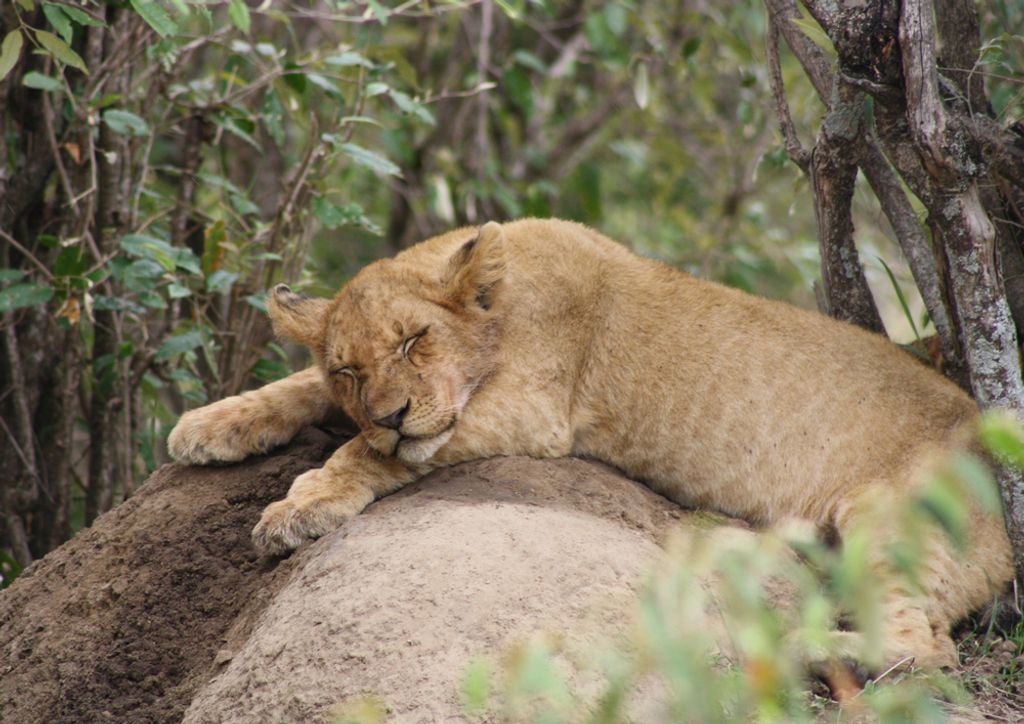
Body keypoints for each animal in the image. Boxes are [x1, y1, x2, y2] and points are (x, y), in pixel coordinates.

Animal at [168, 218, 1012, 671]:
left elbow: (363, 453)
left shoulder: (533, 413)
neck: (502, 301)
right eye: (348, 368)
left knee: (925, 649)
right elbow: (297, 390)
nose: (393, 412)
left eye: (414, 340)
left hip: (890, 518)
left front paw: (298, 507)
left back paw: (796, 649)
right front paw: (208, 425)